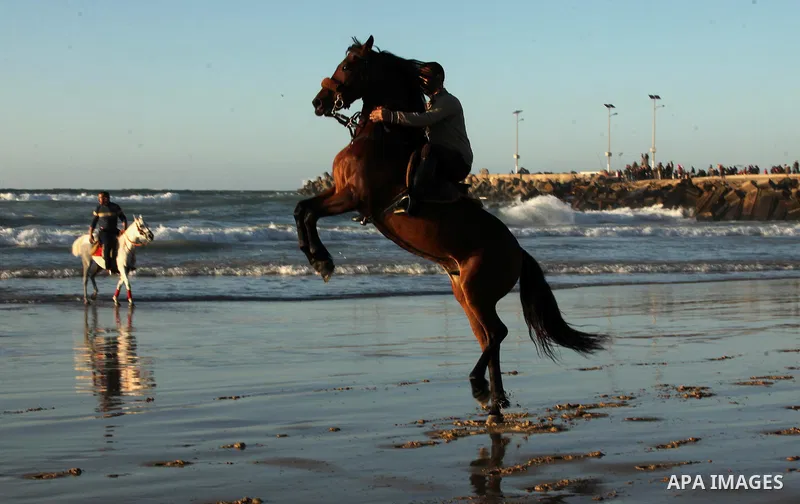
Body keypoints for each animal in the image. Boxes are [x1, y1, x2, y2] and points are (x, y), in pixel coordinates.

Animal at [298, 35, 609, 423]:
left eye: (349, 65)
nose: (318, 102)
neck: (382, 136)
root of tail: (519, 253)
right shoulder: (338, 192)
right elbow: (302, 209)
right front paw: (316, 258)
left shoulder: (351, 197)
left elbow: (308, 213)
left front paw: (321, 260)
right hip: (465, 294)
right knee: (489, 338)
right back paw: (495, 401)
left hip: (476, 291)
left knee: (497, 333)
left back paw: (481, 389)